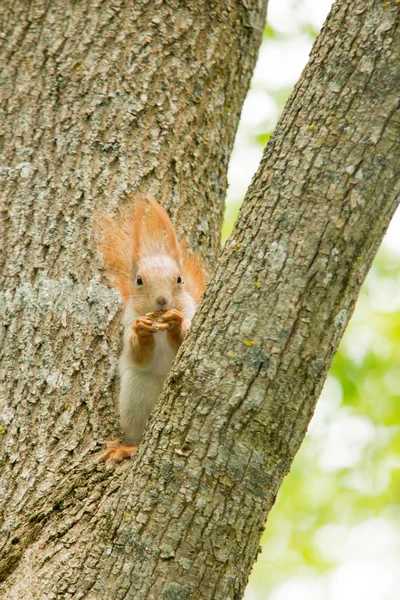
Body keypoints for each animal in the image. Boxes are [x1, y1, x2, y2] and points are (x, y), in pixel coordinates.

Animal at [98, 195, 208, 462]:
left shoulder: (192, 315)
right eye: (139, 280)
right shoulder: (127, 324)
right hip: (136, 394)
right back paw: (128, 447)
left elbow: (184, 341)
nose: (162, 301)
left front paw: (177, 325)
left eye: (179, 279)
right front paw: (141, 331)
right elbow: (137, 354)